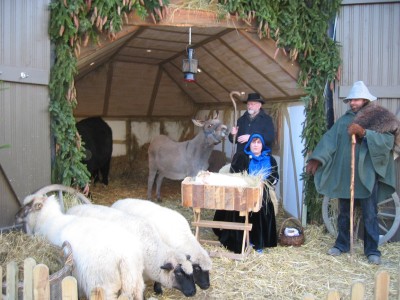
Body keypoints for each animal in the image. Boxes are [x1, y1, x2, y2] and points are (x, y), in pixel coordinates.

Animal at [16, 195, 147, 300]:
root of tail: (126, 257)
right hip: (136, 281)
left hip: (104, 285)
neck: (48, 220)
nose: (16, 215)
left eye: (28, 206)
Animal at [67, 204, 197, 298]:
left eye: (192, 272)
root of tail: (74, 206)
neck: (151, 248)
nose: (193, 292)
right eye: (178, 273)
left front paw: (158, 289)